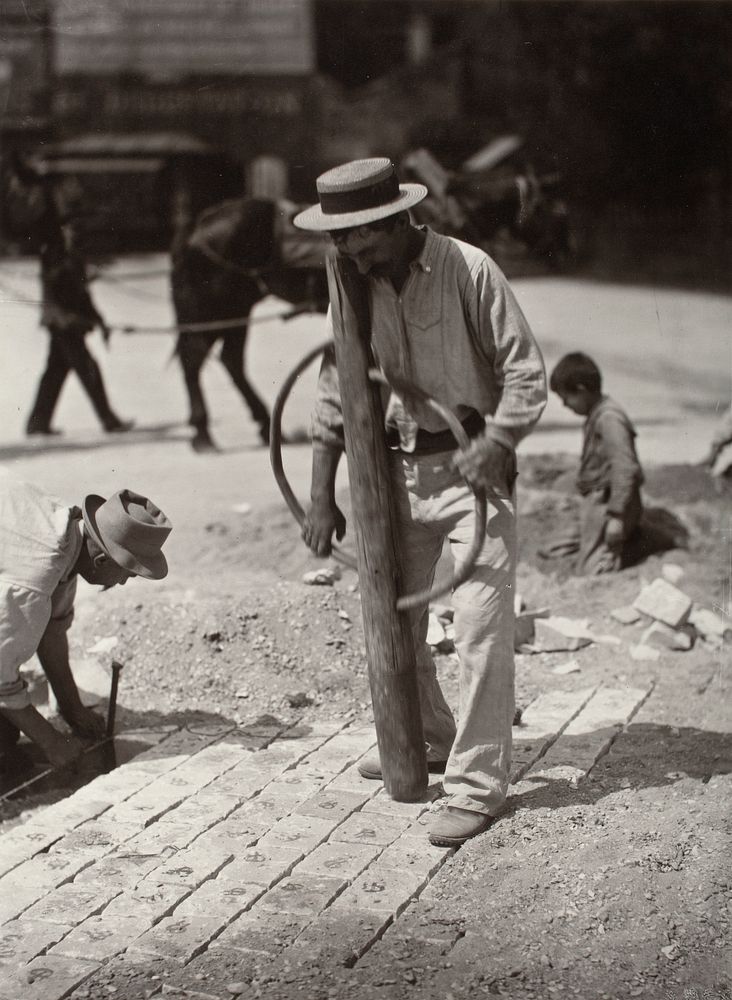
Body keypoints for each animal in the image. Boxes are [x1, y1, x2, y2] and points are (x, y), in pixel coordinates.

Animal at [169, 197, 328, 452]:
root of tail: (197, 228)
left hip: (235, 311)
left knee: (229, 360)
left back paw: (263, 424)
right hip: (214, 313)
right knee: (195, 359)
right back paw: (203, 433)